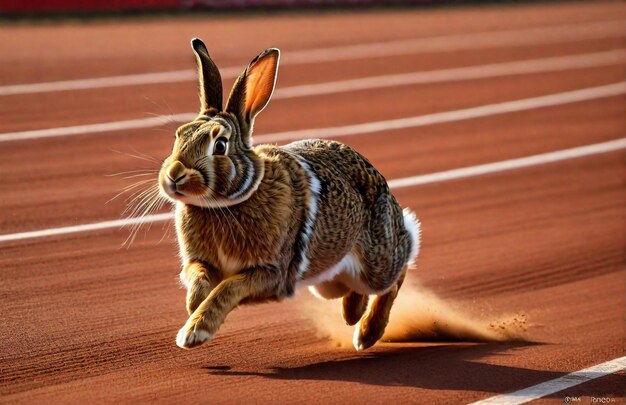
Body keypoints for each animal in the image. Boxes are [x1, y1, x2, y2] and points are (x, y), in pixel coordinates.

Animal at [158, 38, 420, 354]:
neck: (225, 203)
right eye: (179, 134)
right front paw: (193, 305)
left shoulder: (270, 272)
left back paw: (366, 334)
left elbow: (227, 289)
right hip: (328, 279)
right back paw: (352, 315)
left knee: (397, 271)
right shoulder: (200, 262)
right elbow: (198, 276)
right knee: (354, 290)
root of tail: (385, 187)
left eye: (219, 145)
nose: (174, 175)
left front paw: (195, 332)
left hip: (375, 265)